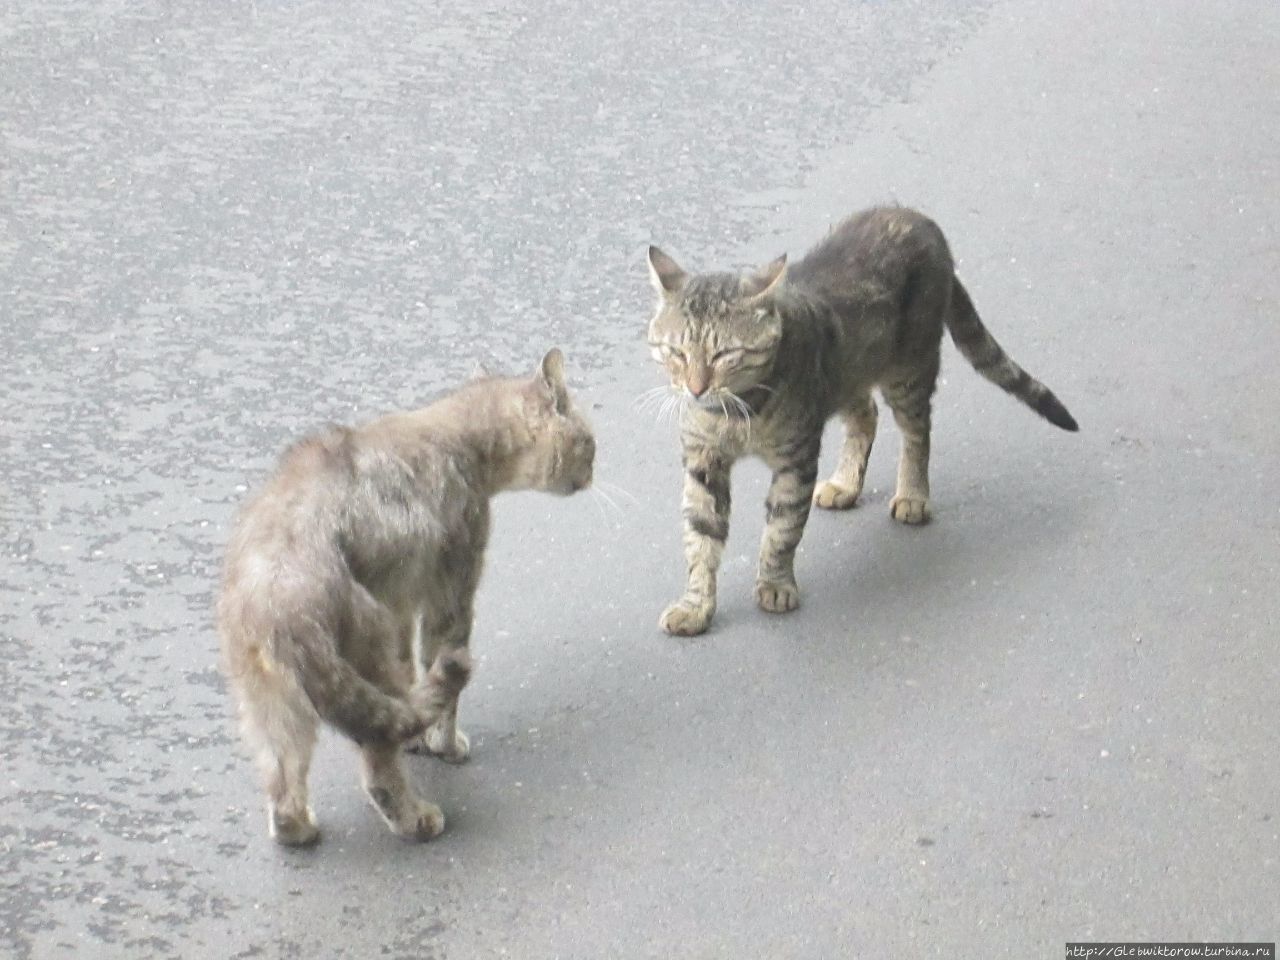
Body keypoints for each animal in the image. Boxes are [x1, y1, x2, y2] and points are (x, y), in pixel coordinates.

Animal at [217, 350, 596, 844]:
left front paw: (420, 737)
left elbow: (414, 678)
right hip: (365, 643)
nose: (593, 473)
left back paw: (302, 830)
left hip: (271, 702)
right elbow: (439, 678)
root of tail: (277, 604)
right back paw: (417, 819)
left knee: (284, 791)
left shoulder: (399, 603)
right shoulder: (450, 591)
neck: (460, 439)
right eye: (590, 443)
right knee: (378, 759)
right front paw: (444, 745)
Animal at [645, 204, 1075, 640]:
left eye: (724, 355)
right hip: (848, 375)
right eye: (676, 352)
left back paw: (913, 494)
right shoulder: (703, 460)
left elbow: (782, 529)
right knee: (866, 415)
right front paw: (695, 605)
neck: (736, 412)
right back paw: (846, 483)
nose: (696, 388)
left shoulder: (796, 460)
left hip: (909, 369)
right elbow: (701, 536)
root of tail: (918, 217)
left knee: (917, 432)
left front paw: (775, 584)